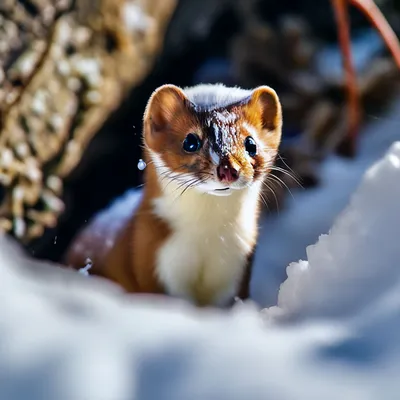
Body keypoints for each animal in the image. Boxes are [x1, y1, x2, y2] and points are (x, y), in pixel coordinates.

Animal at [65, 83, 282, 308]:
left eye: (251, 143)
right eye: (190, 141)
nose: (228, 169)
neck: (206, 241)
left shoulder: (236, 266)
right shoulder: (155, 259)